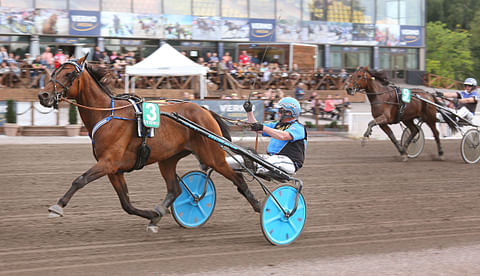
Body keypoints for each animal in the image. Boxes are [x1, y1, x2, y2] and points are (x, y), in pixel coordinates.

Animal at [38, 55, 262, 232]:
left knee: (238, 178)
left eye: (68, 74)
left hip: (212, 156)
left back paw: (260, 205)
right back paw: (162, 211)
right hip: (168, 159)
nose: (43, 95)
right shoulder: (114, 170)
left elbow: (80, 180)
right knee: (175, 189)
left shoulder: (108, 163)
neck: (108, 114)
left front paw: (57, 206)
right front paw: (153, 216)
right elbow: (126, 204)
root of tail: (205, 109)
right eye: (53, 72)